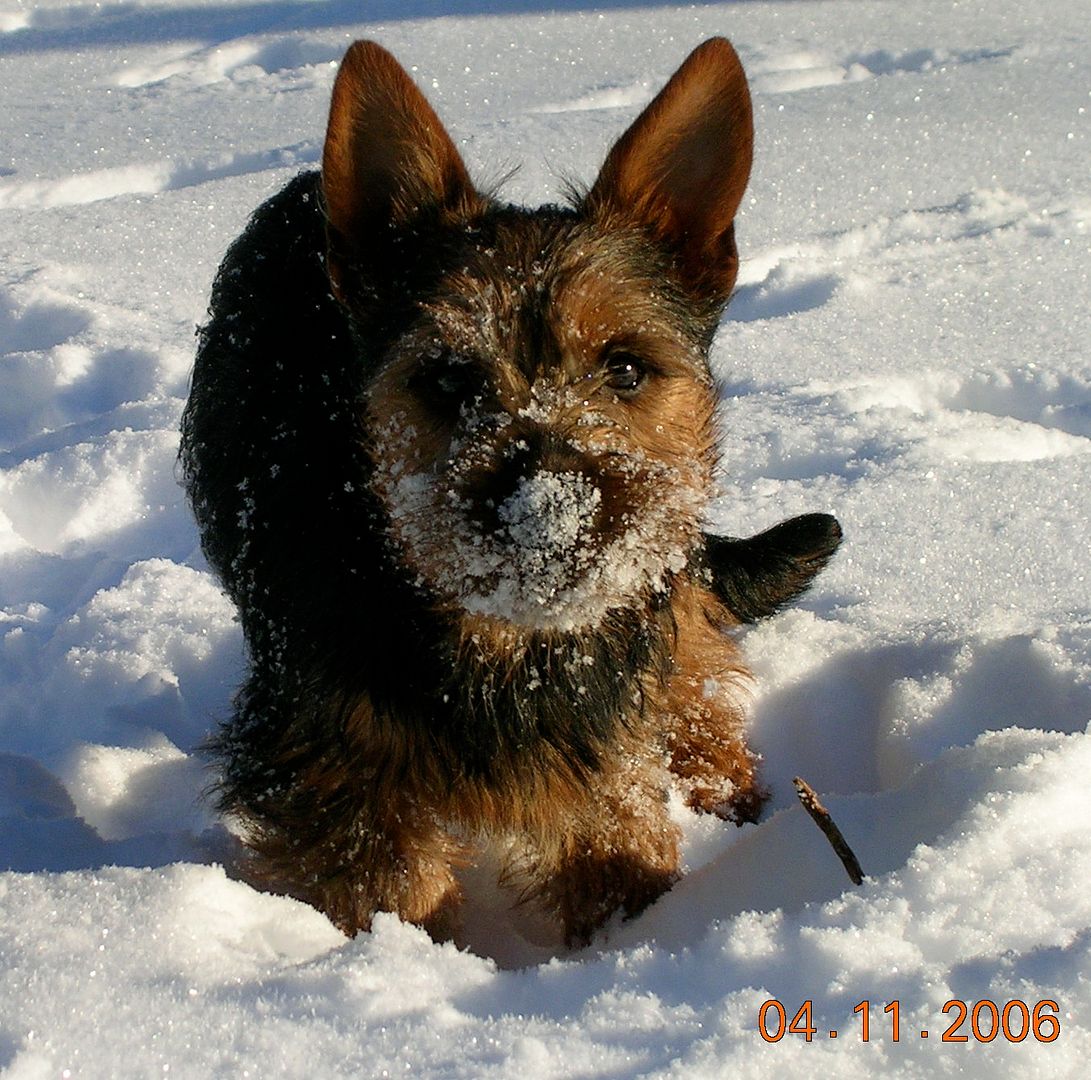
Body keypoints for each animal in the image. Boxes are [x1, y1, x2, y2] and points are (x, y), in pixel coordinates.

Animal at [183, 38, 837, 942]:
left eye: (625, 368)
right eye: (448, 380)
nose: (549, 509)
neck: (502, 643)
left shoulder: (603, 718)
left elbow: (616, 825)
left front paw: (628, 936)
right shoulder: (327, 758)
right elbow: (387, 882)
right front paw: (403, 955)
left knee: (691, 658)